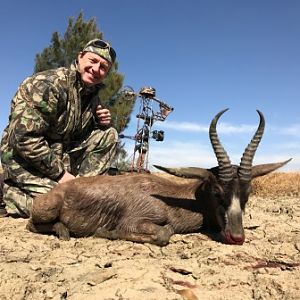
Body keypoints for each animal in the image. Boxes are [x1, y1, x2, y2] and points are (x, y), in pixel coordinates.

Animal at [27, 109, 290, 245]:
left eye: (247, 194)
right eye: (217, 192)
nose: (237, 237)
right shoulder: (135, 222)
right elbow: (165, 233)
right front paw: (105, 232)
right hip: (44, 212)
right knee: (32, 224)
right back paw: (63, 232)